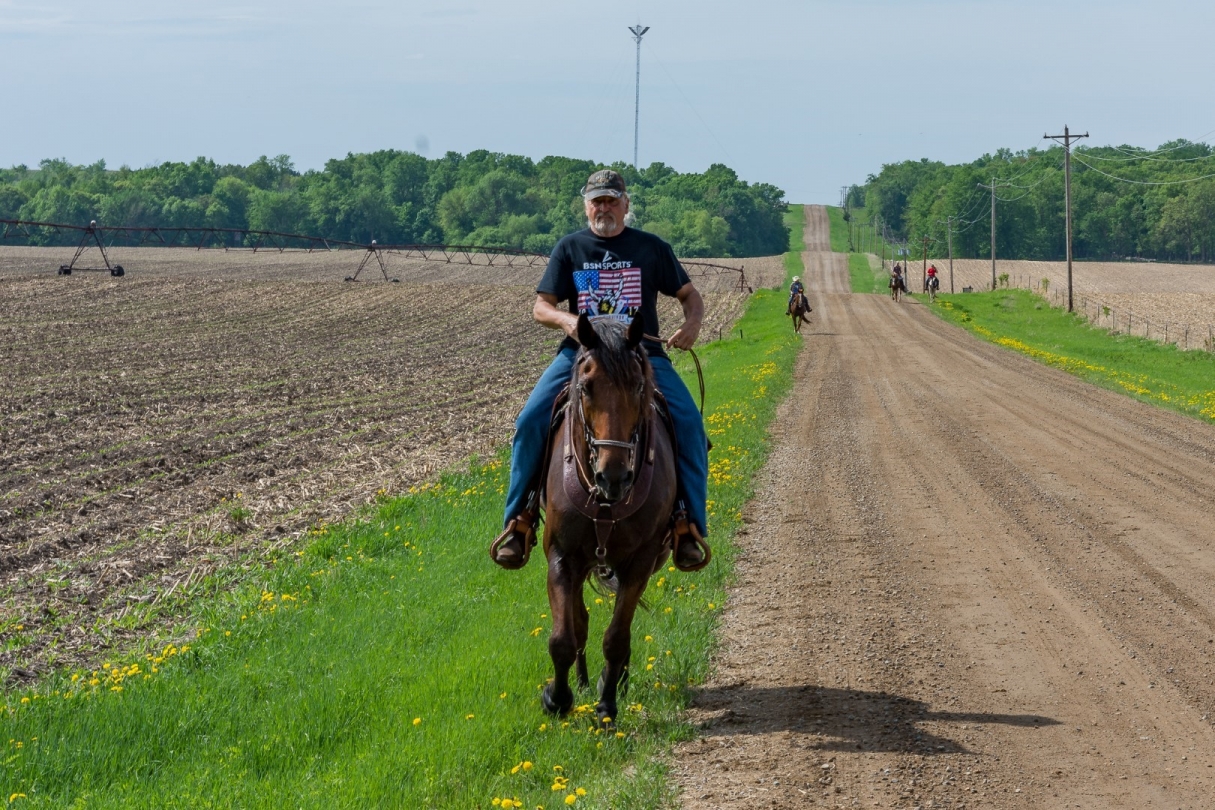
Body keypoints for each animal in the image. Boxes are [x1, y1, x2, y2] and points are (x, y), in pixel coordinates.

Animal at [539, 313, 680, 728]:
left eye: (638, 385)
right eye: (586, 387)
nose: (613, 476)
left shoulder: (641, 561)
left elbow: (617, 637)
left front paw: (607, 705)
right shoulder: (561, 555)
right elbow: (564, 636)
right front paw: (558, 698)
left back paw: (614, 683)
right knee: (581, 621)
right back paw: (585, 681)